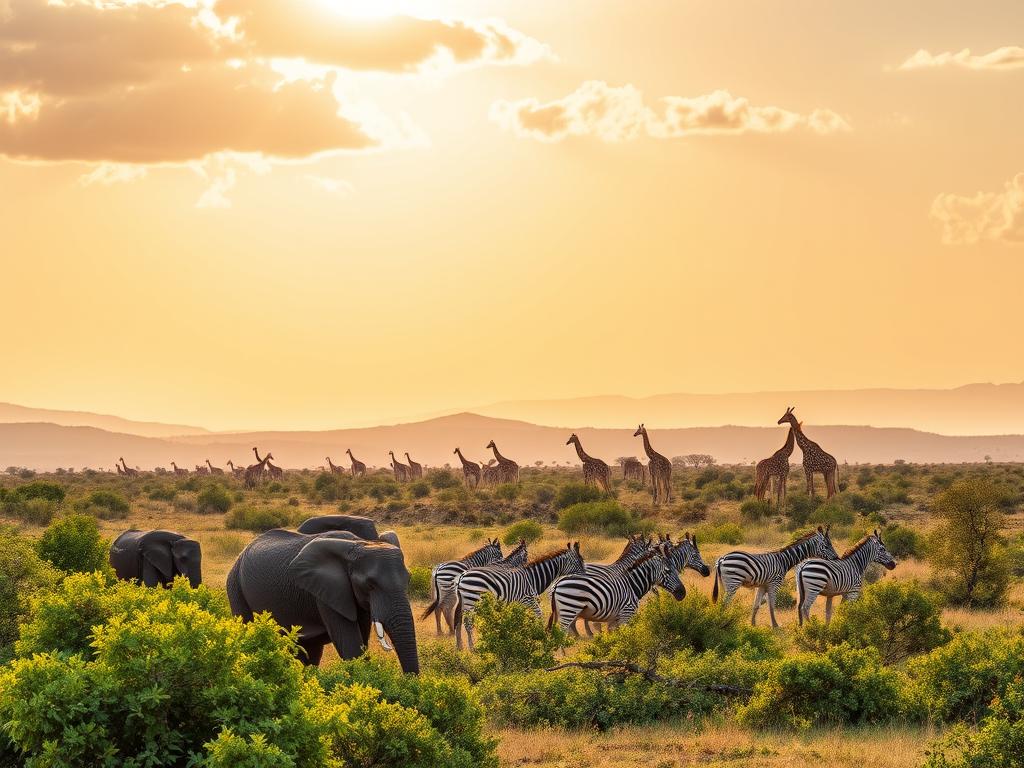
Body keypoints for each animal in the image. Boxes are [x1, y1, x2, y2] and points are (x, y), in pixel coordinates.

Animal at [226, 529, 419, 673]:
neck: (358, 544)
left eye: (408, 579)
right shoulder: (327, 593)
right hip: (235, 587)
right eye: (370, 584)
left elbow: (361, 640)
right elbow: (351, 647)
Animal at [454, 542, 585, 651]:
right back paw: (472, 648)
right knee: (468, 623)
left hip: (465, 601)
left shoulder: (519, 603)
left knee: (460, 622)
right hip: (472, 600)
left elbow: (520, 619)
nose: (584, 577)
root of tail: (462, 576)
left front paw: (518, 636)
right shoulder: (528, 600)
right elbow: (539, 616)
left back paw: (460, 647)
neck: (532, 578)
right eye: (579, 562)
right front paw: (538, 637)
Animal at [549, 543, 685, 634]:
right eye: (668, 571)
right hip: (569, 608)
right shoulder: (626, 614)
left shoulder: (614, 618)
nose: (682, 593)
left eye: (676, 569)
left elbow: (614, 635)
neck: (632, 585)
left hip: (563, 611)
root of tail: (557, 583)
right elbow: (624, 637)